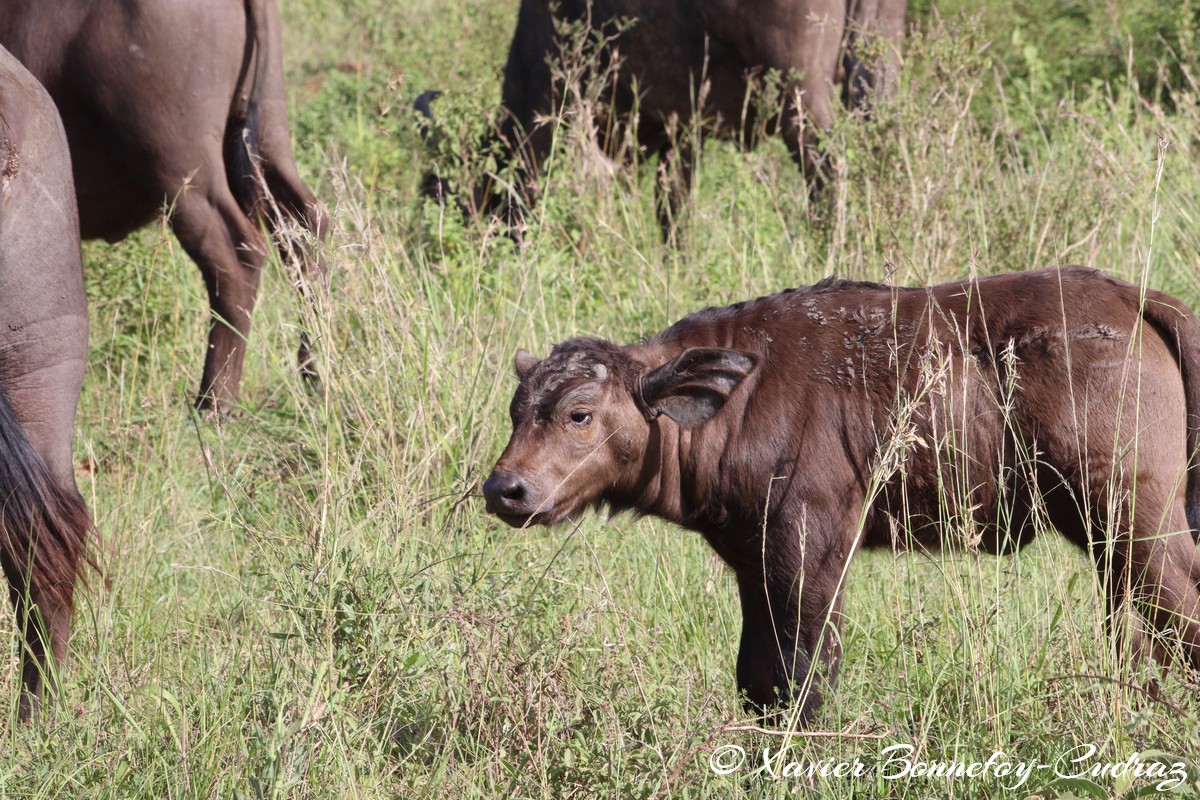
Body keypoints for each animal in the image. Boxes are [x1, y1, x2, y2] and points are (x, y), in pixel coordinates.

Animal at [0, 0, 328, 412]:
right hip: (267, 131)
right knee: (304, 229)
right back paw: (315, 371)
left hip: (178, 166)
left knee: (235, 257)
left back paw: (213, 402)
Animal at [420, 0, 902, 236]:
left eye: (444, 200)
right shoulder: (684, 135)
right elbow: (674, 210)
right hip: (874, 67)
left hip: (800, 93)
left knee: (829, 172)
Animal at [482, 267, 1200, 719]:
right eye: (516, 410)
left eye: (578, 413)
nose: (504, 488)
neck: (734, 398)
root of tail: (1132, 298)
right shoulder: (754, 563)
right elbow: (757, 678)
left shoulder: (813, 551)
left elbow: (802, 677)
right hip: (1112, 543)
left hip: (1137, 527)